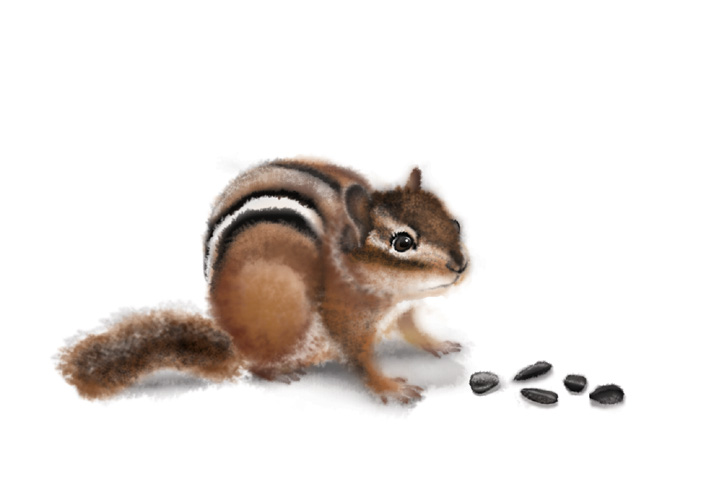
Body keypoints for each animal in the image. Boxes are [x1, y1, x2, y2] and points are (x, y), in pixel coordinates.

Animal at [58, 158, 469, 404]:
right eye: (403, 242)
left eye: (455, 222)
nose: (460, 265)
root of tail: (233, 341)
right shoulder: (345, 317)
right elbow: (359, 357)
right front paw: (387, 387)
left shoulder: (404, 311)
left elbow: (413, 329)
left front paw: (437, 344)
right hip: (284, 312)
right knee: (258, 365)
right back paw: (279, 372)